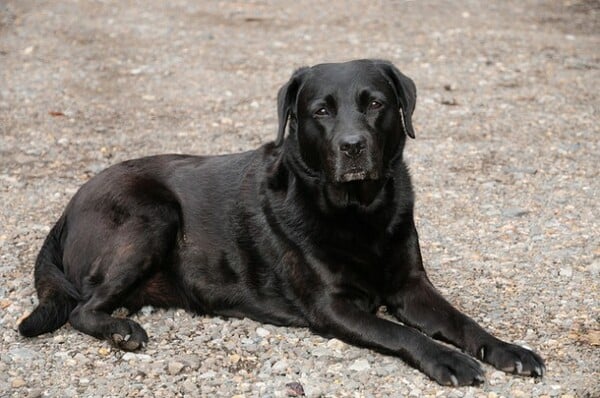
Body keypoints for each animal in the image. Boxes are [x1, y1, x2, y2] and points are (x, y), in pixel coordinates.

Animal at [19, 59, 544, 386]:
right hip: (153, 216)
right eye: (321, 110)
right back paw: (121, 331)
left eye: (375, 103)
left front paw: (506, 350)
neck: (359, 212)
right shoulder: (333, 307)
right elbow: (403, 334)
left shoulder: (411, 287)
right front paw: (447, 359)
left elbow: (460, 320)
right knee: (81, 308)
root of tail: (67, 209)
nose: (353, 146)